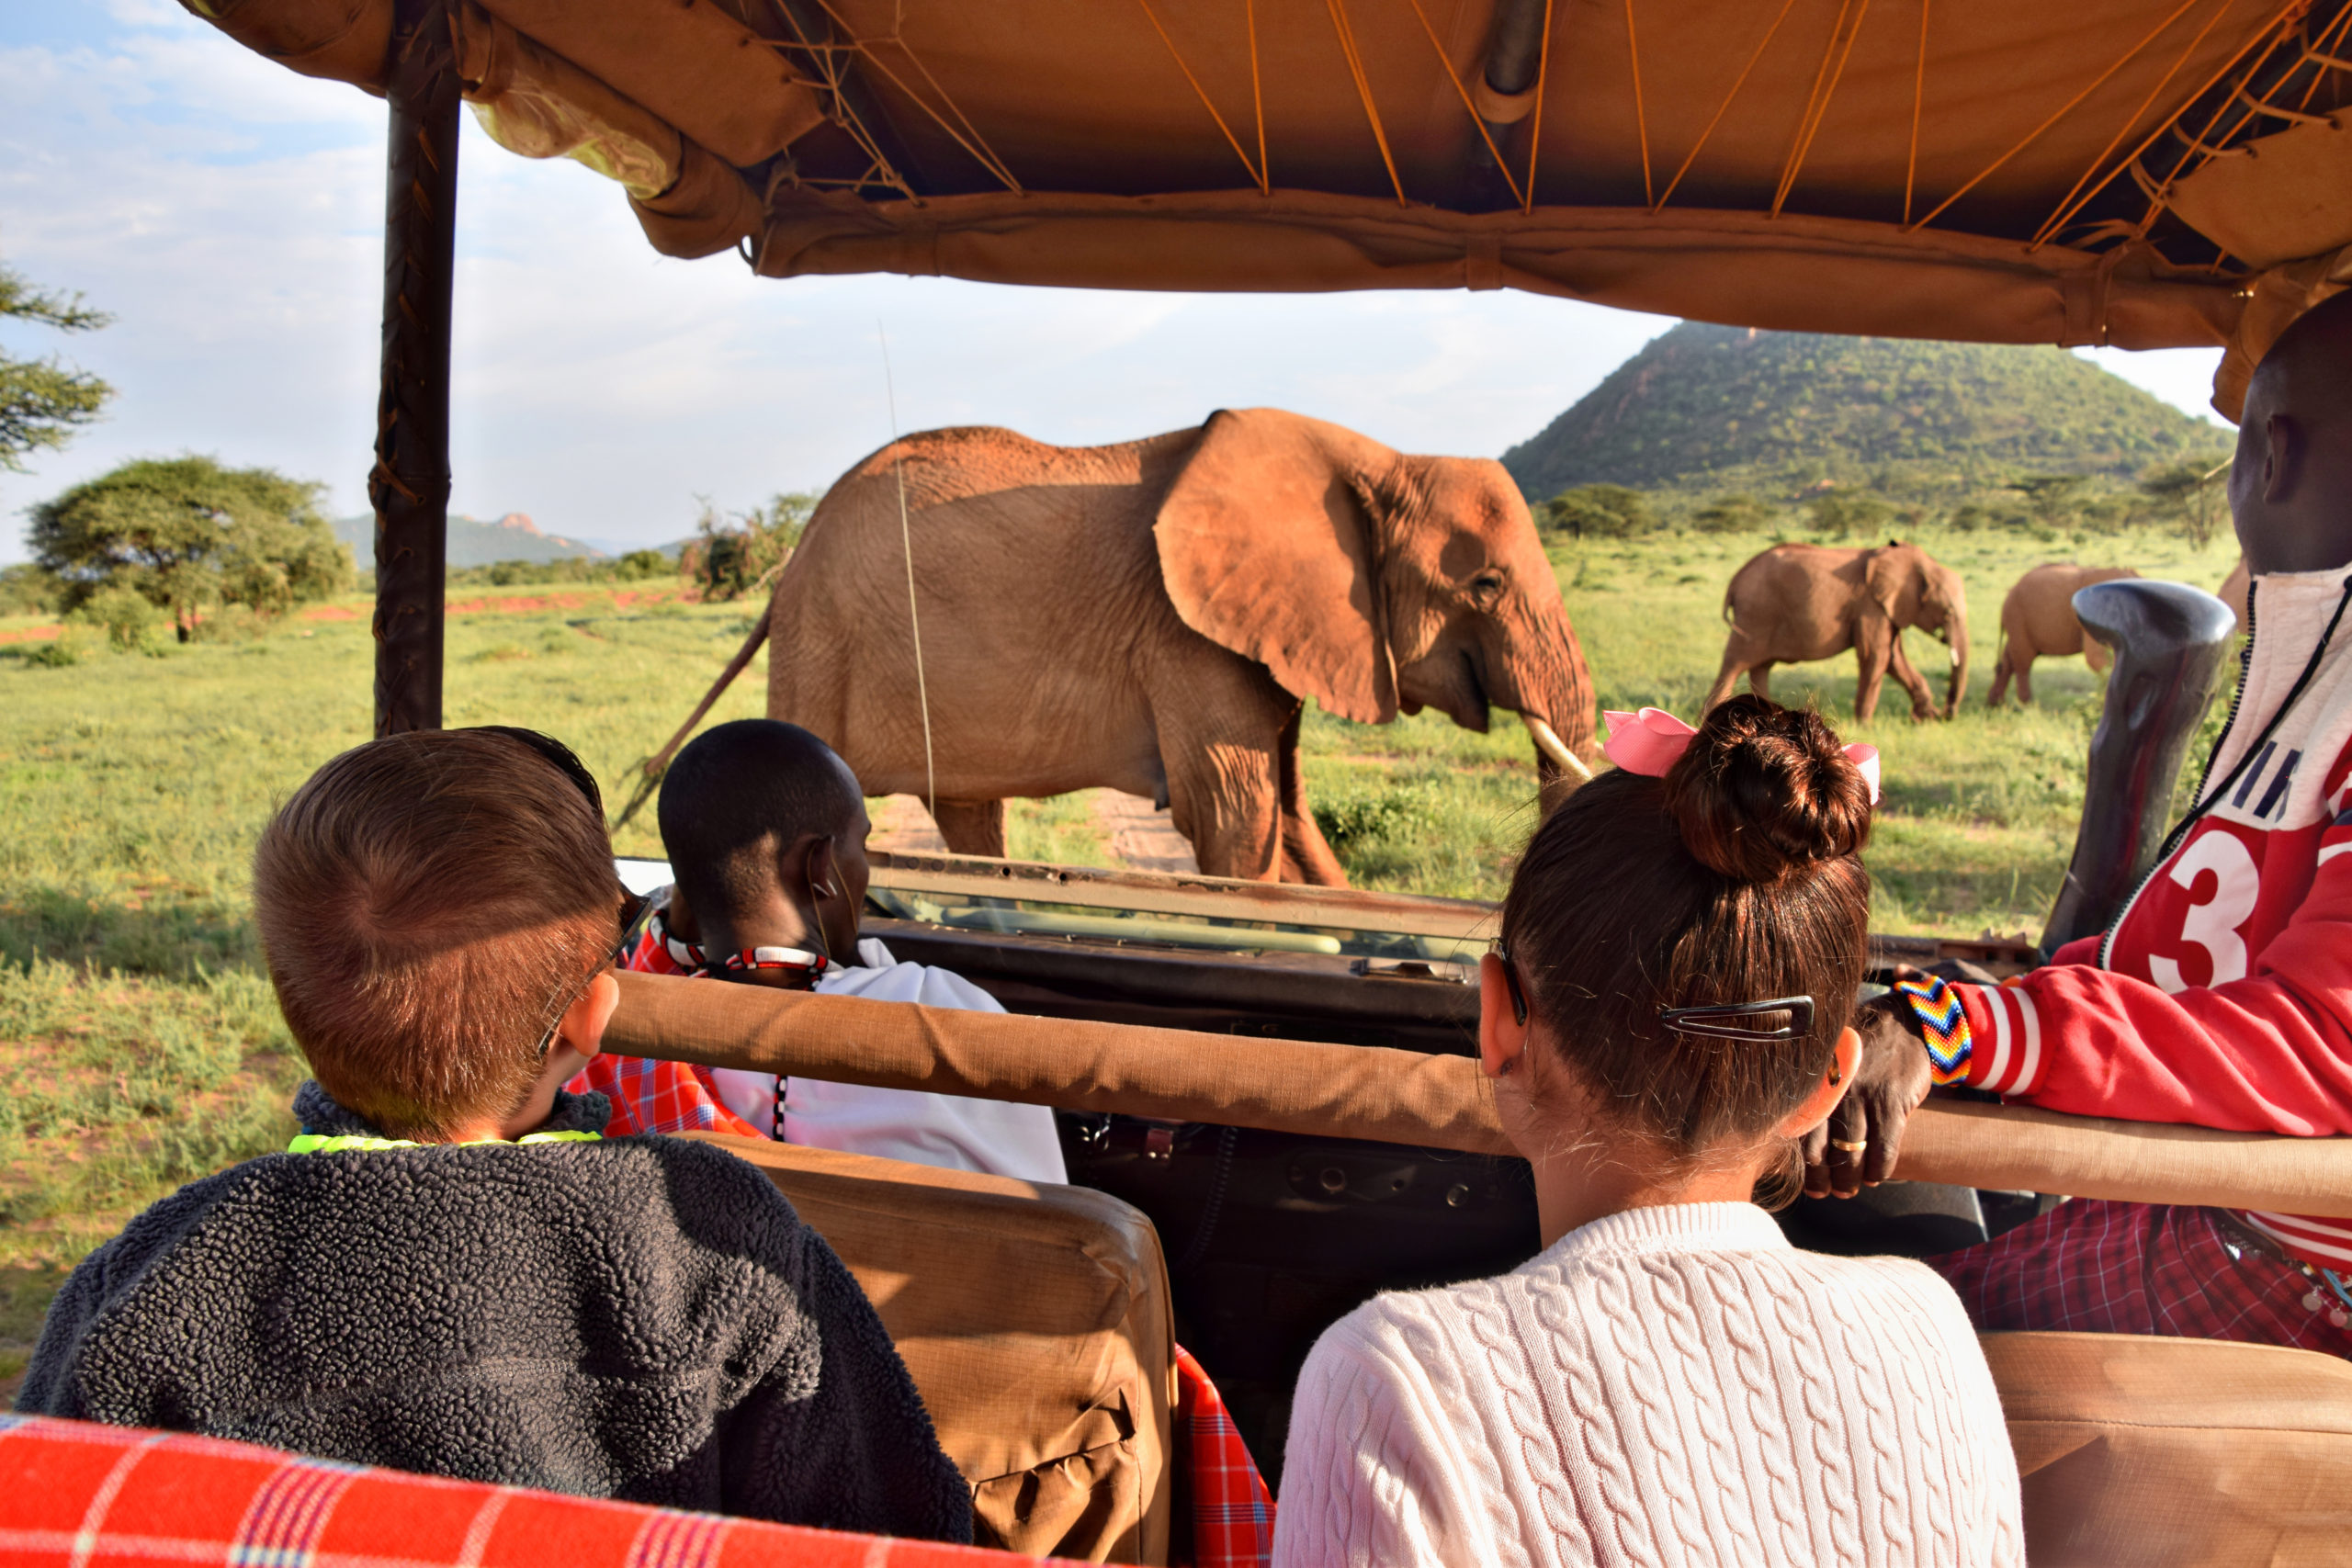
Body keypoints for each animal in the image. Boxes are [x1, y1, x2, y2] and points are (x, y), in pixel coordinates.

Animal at [653, 411, 1609, 884]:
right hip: (824, 640)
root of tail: (788, 566)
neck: (1375, 457)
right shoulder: (1185, 635)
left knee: (968, 811)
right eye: (1485, 585)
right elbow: (1235, 816)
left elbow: (1288, 816)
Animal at [1712, 543, 1966, 728]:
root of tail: (1735, 580)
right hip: (1756, 614)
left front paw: (1924, 718)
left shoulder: (1886, 609)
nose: (1946, 715)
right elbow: (1876, 656)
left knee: (1760, 667)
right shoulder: (1871, 606)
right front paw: (1865, 726)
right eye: (1948, 612)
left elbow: (1894, 658)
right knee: (1734, 664)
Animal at [1984, 564, 2154, 705]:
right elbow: (2098, 659)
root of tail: (2011, 590)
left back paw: (1996, 704)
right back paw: (2027, 706)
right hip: (2017, 617)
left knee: (2009, 658)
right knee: (2022, 660)